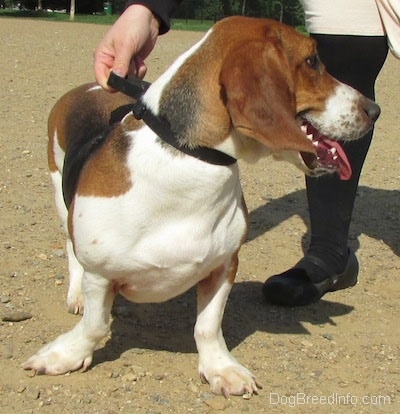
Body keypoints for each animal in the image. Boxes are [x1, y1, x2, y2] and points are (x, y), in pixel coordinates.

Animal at [23, 17, 380, 398]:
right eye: (313, 60)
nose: (375, 110)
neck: (190, 159)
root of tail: (89, 87)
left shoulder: (224, 265)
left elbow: (207, 327)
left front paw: (221, 369)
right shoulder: (101, 274)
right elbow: (95, 324)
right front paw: (64, 355)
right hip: (61, 198)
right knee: (71, 251)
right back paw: (75, 295)